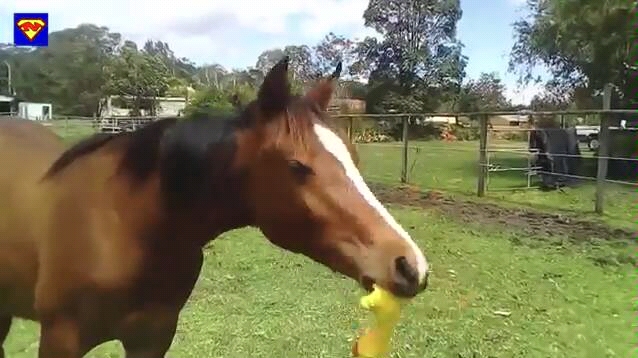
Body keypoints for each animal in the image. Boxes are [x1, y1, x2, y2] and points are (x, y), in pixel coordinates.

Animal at [0, 57, 432, 356]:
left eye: (355, 157)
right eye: (297, 166)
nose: (410, 266)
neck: (125, 223)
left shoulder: (152, 338)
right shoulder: (61, 340)